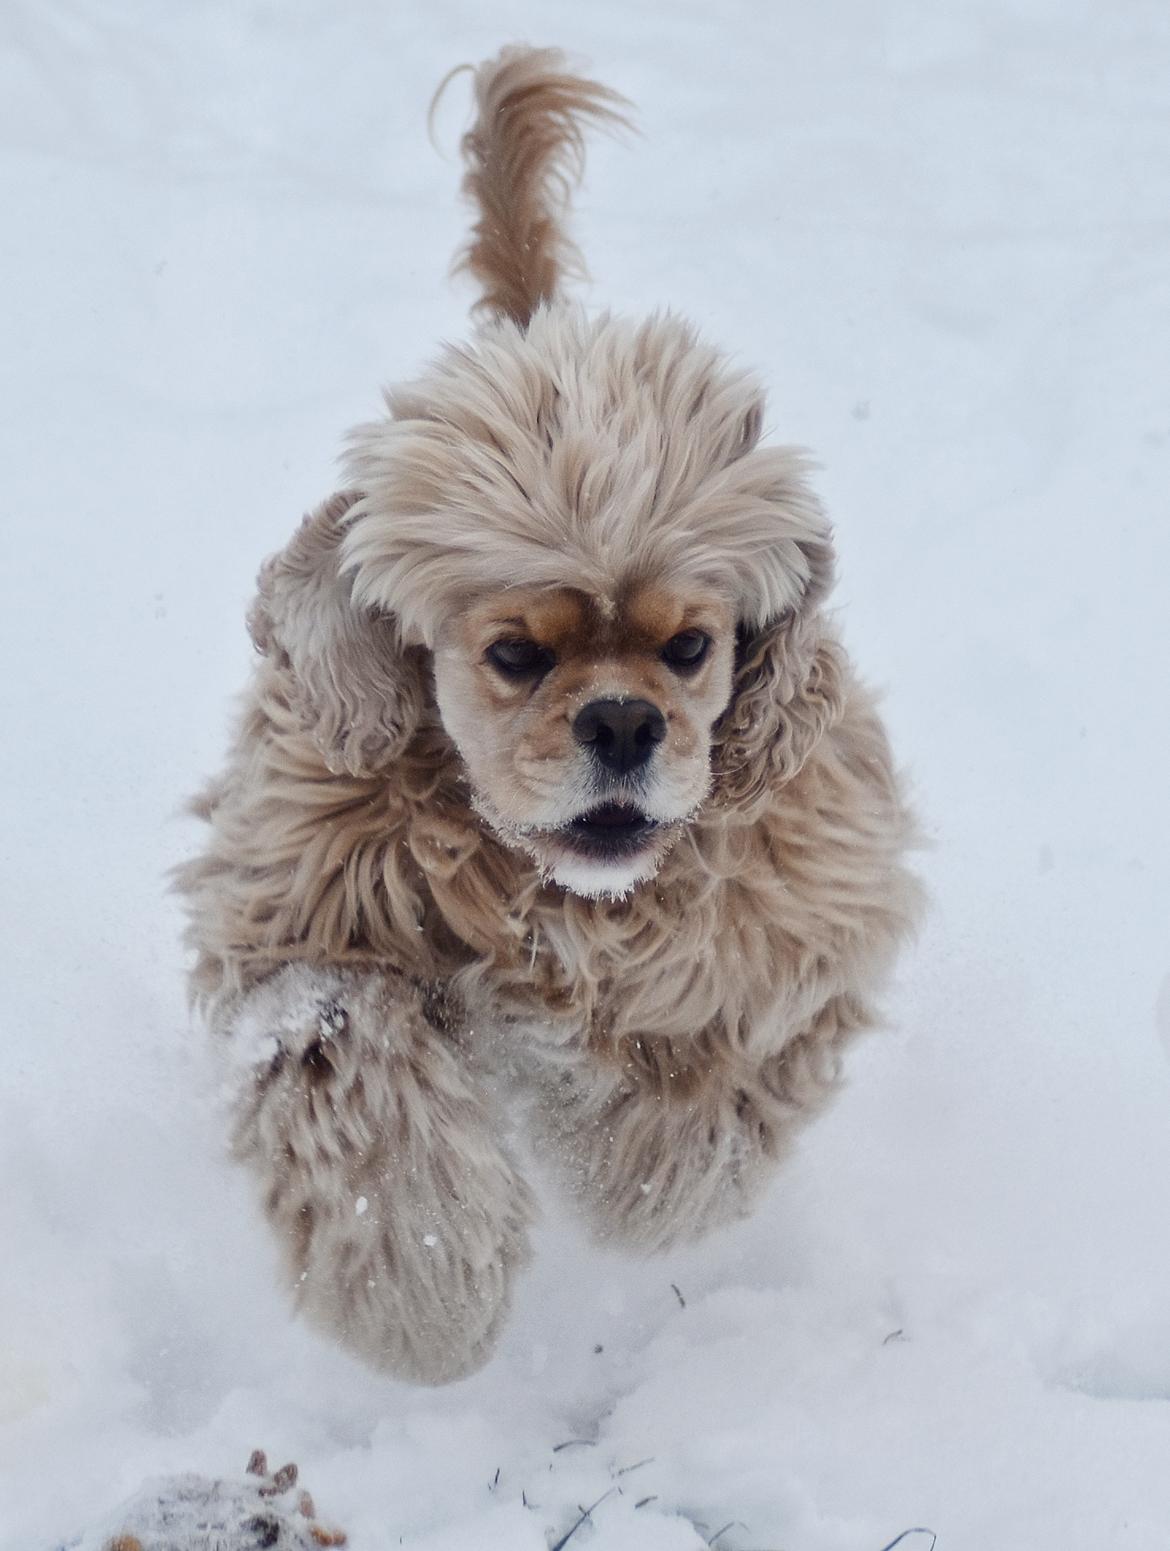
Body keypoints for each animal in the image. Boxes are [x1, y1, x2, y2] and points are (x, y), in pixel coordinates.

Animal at [177, 45, 918, 1383]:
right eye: (515, 654)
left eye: (691, 648)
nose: (622, 723)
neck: (557, 900)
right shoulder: (297, 920)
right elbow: (347, 1048)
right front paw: (424, 1290)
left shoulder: (797, 940)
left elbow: (703, 1103)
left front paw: (625, 1171)